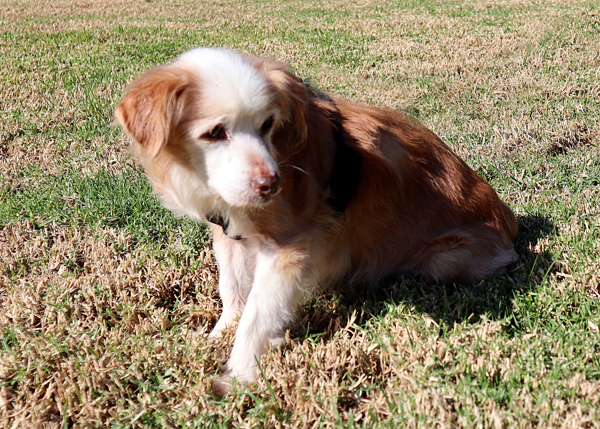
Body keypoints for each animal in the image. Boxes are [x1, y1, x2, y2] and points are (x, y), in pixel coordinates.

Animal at [115, 47, 516, 394]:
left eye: (267, 125)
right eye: (214, 132)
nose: (271, 184)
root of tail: (510, 223)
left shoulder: (288, 246)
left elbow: (258, 313)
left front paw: (238, 374)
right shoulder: (228, 232)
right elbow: (232, 288)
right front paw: (221, 332)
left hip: (445, 260)